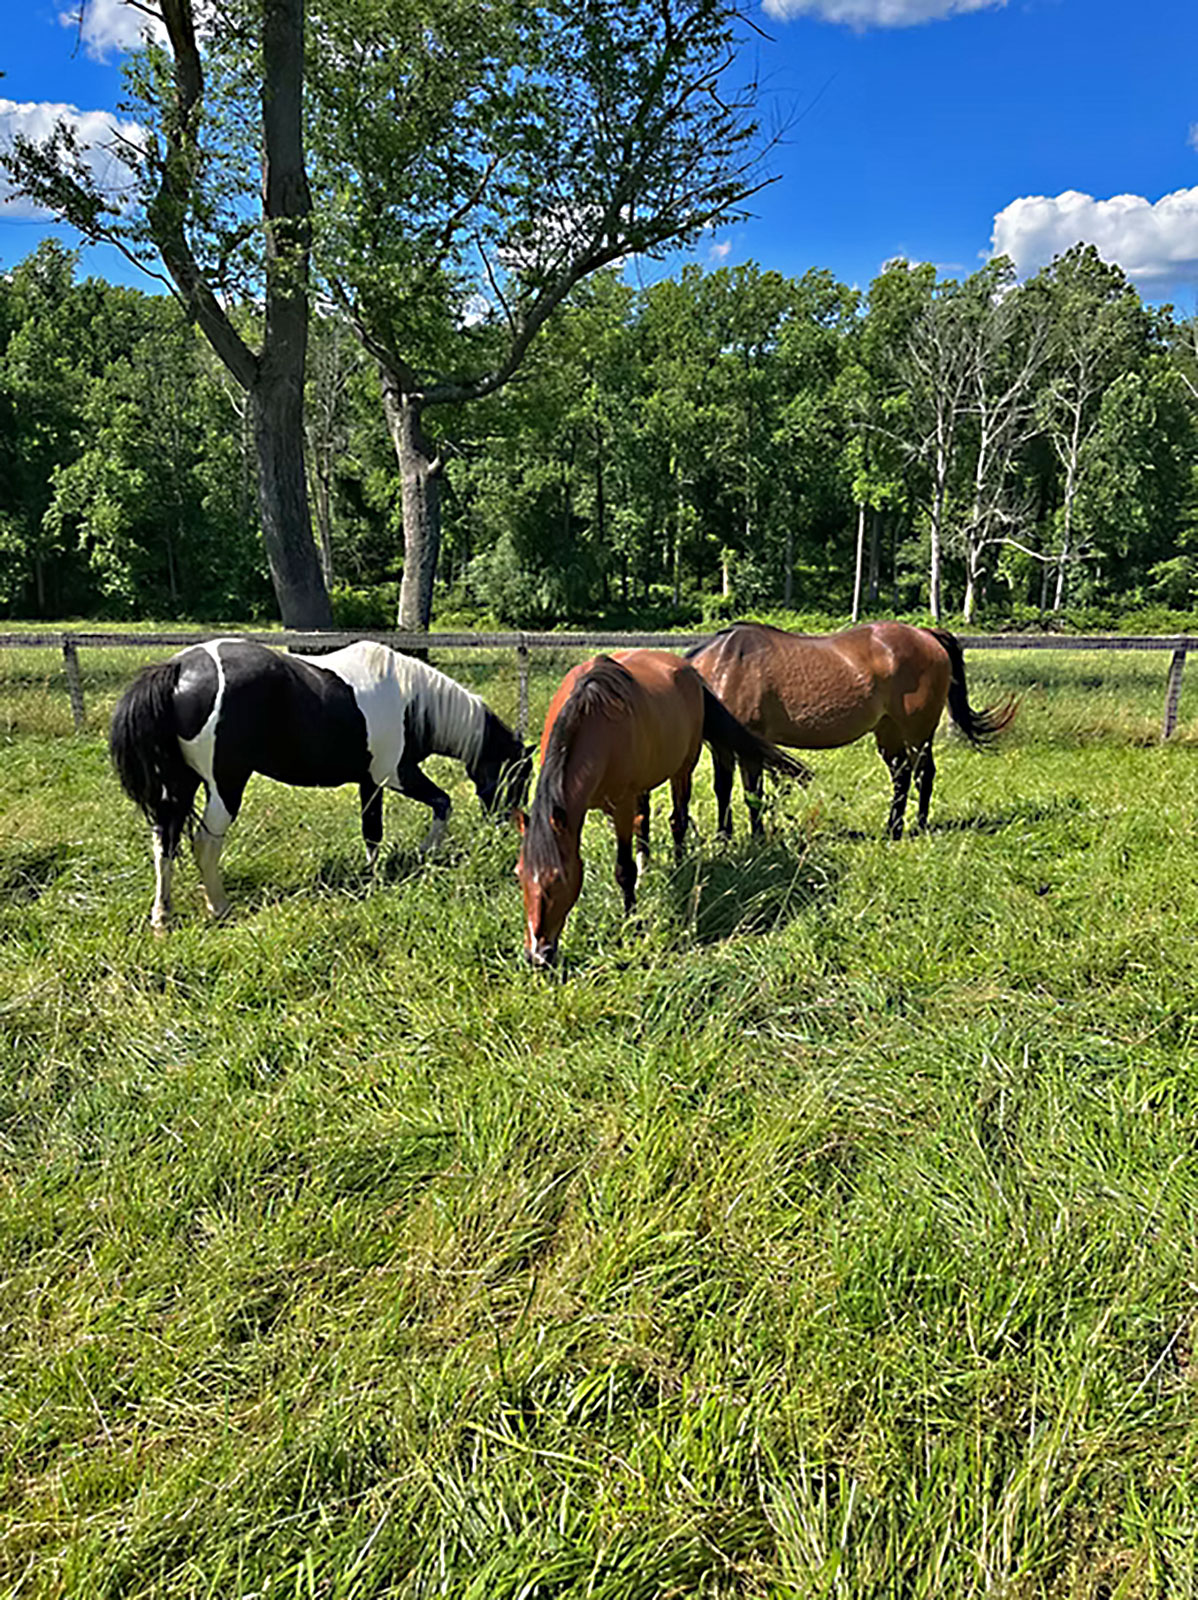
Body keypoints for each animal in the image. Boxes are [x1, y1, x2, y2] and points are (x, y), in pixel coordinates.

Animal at [110, 637, 533, 929]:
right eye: (519, 776)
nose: (506, 828)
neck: (412, 700)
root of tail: (179, 668)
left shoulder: (372, 781)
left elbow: (376, 830)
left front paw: (380, 872)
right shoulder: (393, 774)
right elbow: (433, 805)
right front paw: (415, 856)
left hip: (179, 786)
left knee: (164, 841)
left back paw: (162, 916)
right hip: (225, 786)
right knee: (204, 843)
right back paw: (220, 907)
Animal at [514, 649, 811, 967]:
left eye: (559, 877)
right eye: (519, 874)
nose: (537, 955)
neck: (593, 723)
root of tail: (689, 670)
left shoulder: (621, 806)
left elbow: (624, 870)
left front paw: (632, 924)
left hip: (683, 768)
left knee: (677, 820)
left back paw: (679, 864)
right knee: (644, 821)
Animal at [687, 621, 1016, 841]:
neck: (724, 664)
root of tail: (927, 635)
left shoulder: (750, 746)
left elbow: (752, 794)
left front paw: (756, 839)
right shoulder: (723, 746)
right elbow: (723, 790)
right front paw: (724, 837)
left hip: (917, 731)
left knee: (924, 773)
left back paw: (918, 827)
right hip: (889, 731)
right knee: (901, 775)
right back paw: (893, 829)